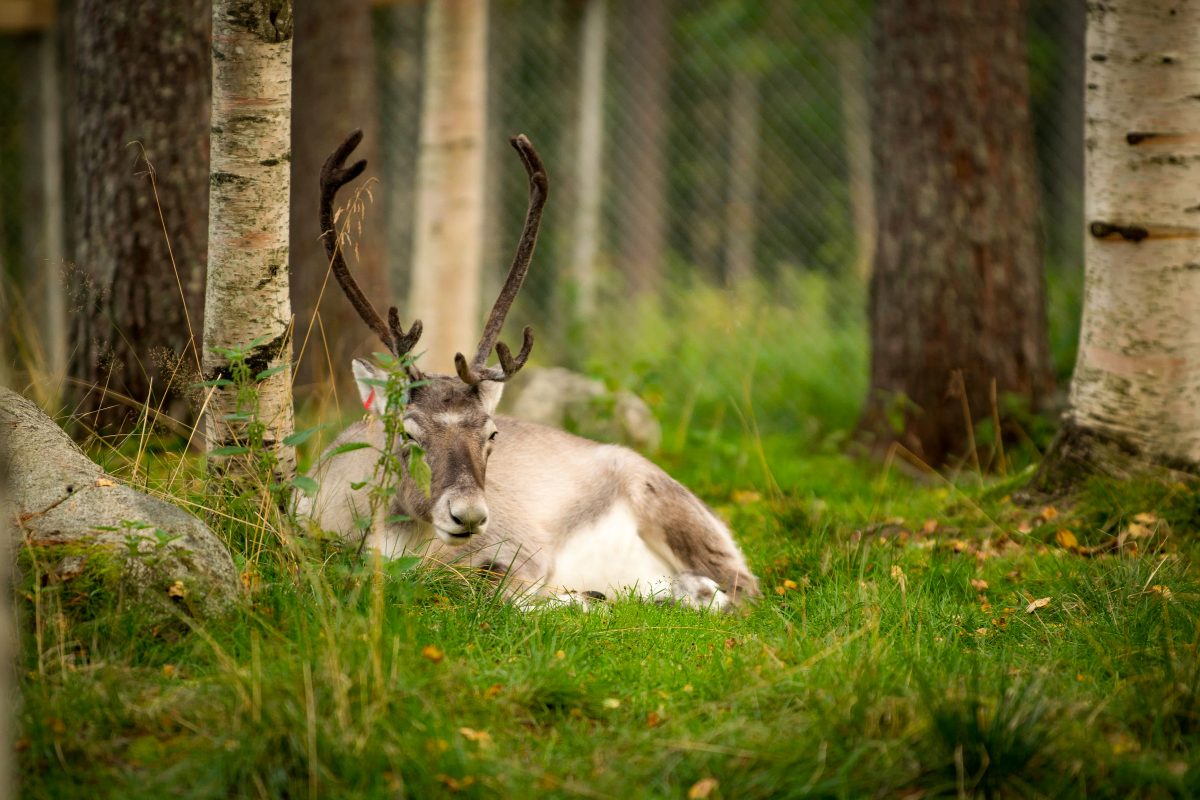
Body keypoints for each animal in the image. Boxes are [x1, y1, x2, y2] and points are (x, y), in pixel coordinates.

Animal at [295, 131, 759, 611]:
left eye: (492, 433)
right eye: (408, 433)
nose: (469, 515)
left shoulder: (525, 549)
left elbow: (501, 594)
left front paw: (584, 598)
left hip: (667, 505)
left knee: (743, 589)